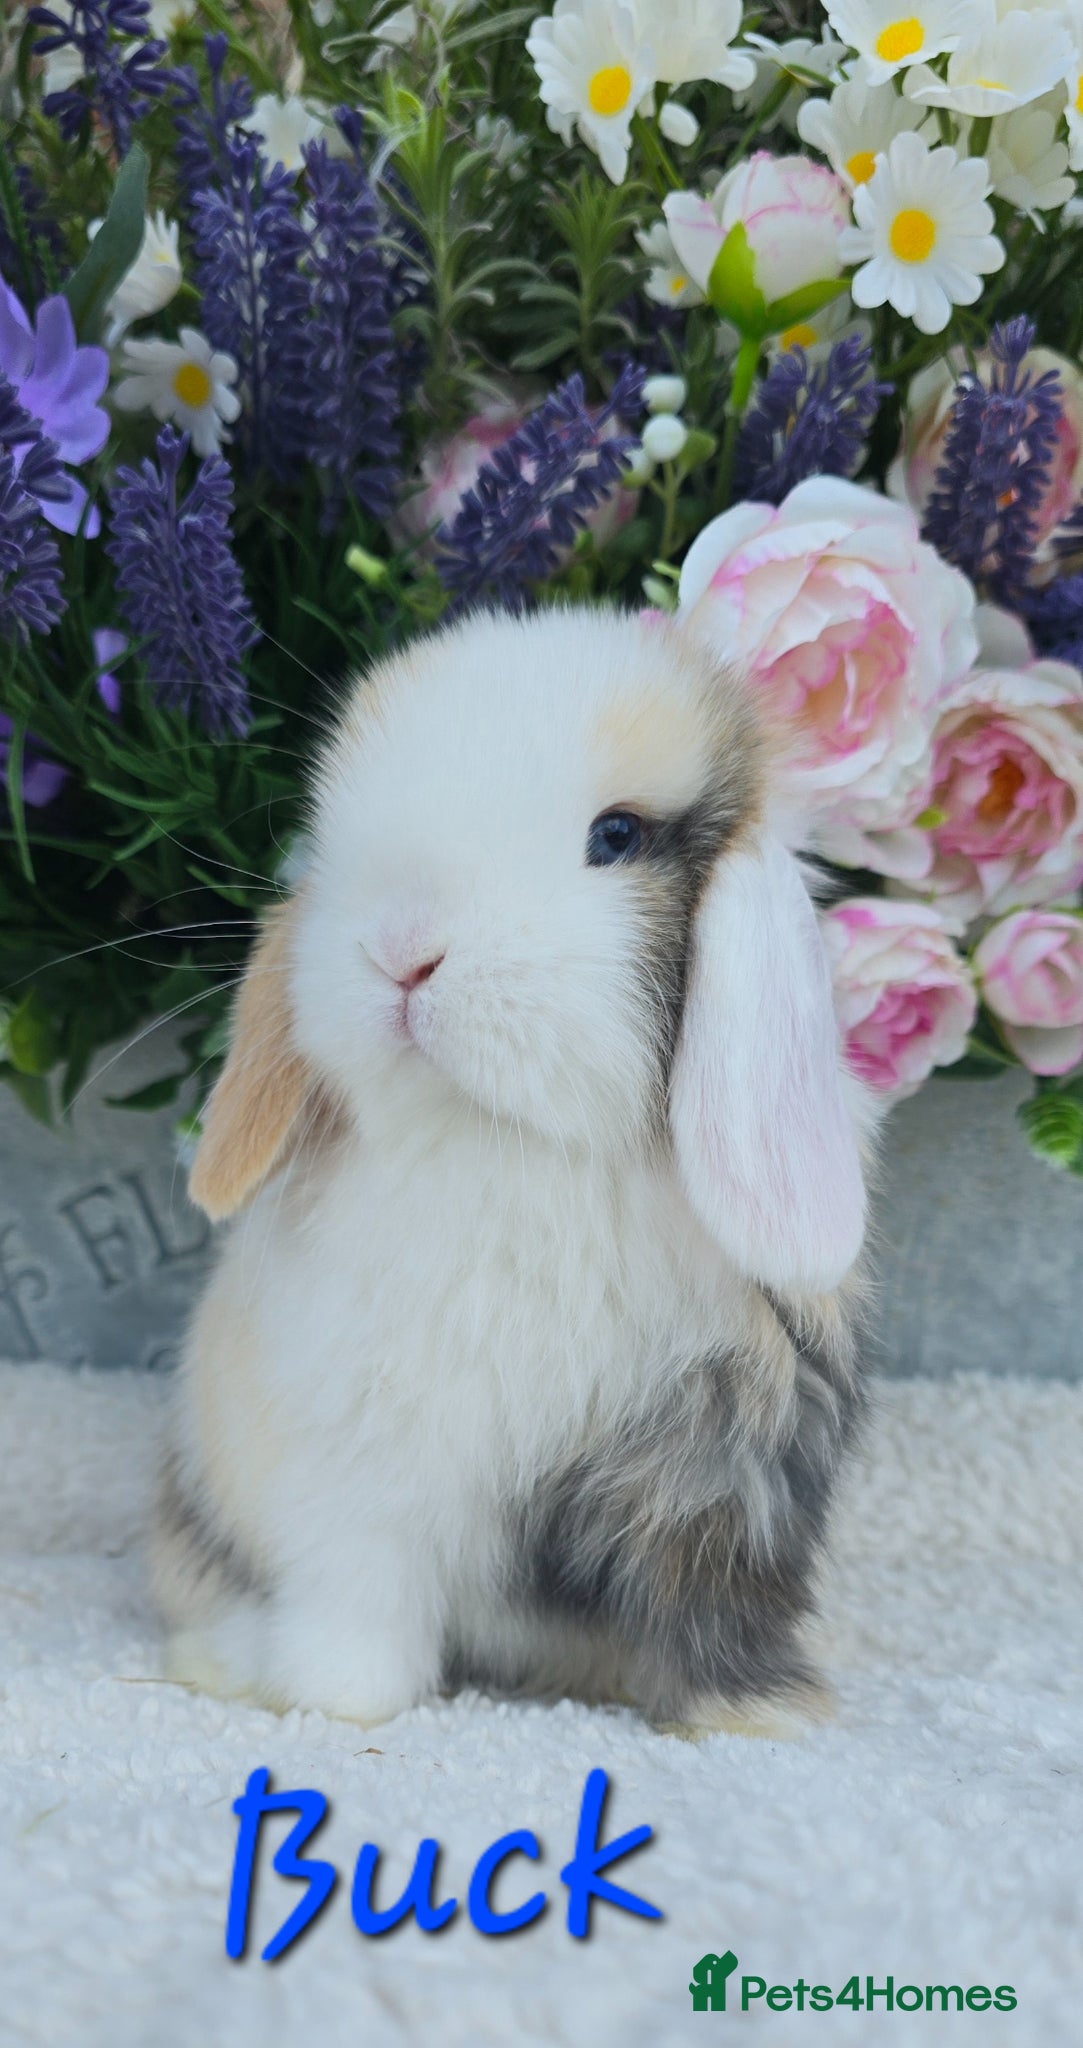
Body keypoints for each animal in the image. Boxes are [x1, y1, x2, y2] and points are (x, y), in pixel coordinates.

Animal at [152, 604, 874, 1738]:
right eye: (335, 834)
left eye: (615, 836)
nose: (403, 949)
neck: (512, 1143)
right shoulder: (357, 1483)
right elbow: (359, 1593)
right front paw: (340, 1702)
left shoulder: (723, 1482)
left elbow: (712, 1610)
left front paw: (758, 1718)